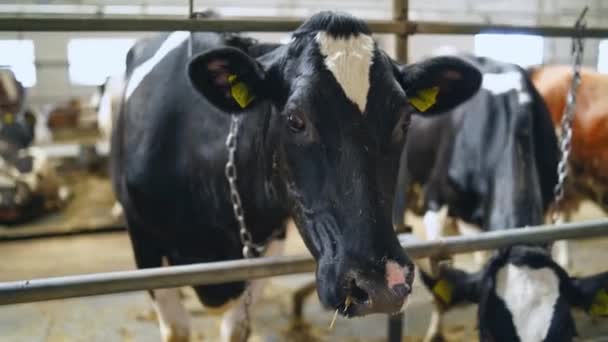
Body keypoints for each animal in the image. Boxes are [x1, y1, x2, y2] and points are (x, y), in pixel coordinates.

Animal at [113, 10, 484, 342]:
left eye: (404, 120)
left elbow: (236, 329)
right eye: (295, 119)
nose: (379, 285)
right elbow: (177, 328)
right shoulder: (143, 240)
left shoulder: (267, 245)